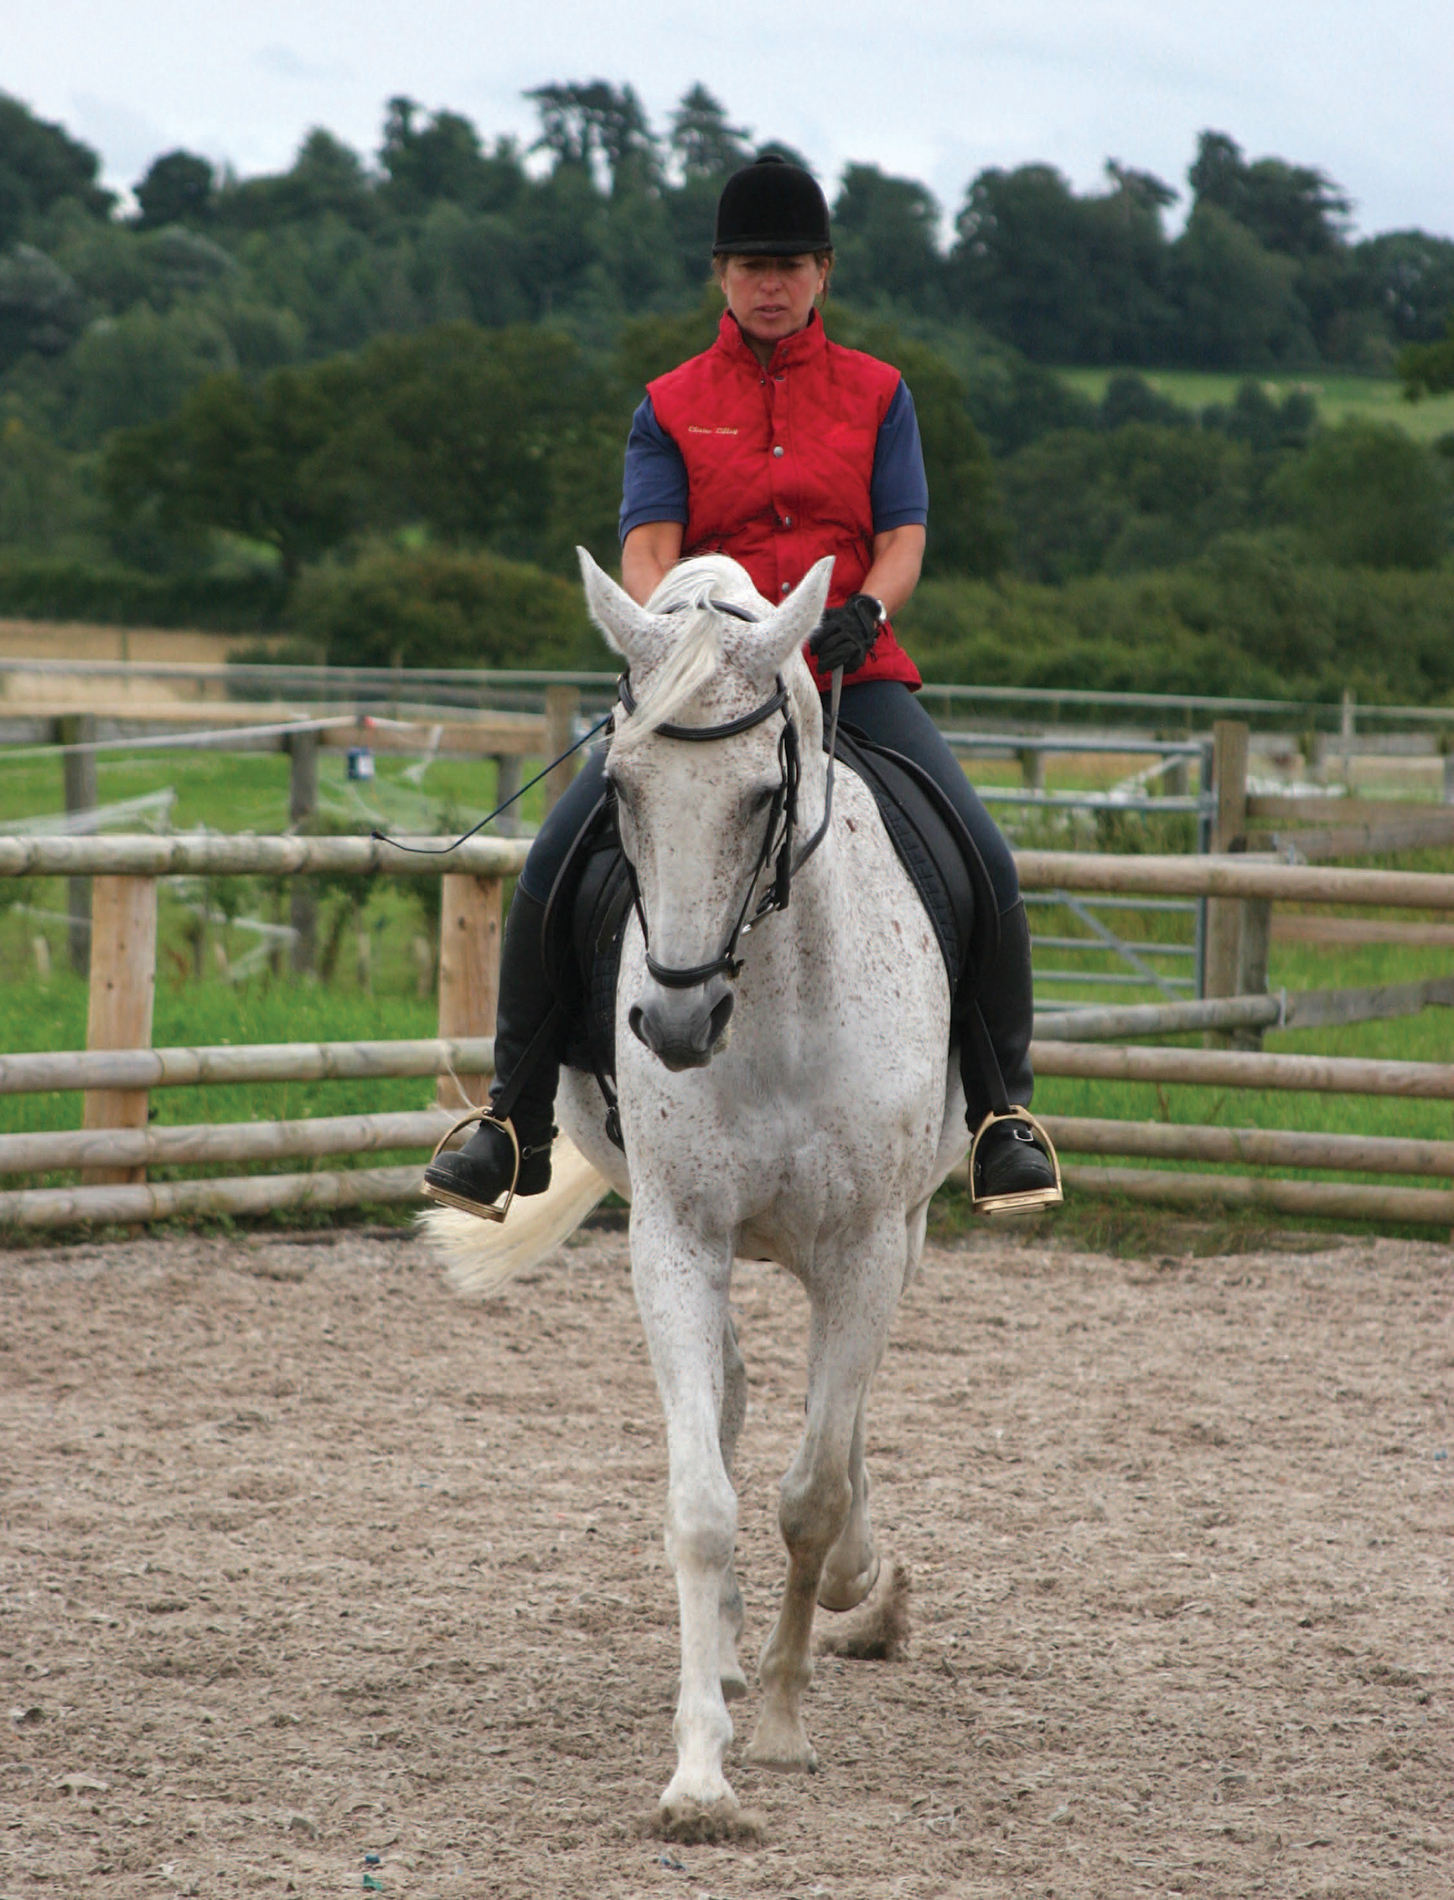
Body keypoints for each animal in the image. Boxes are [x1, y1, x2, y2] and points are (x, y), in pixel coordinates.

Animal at [425, 554, 969, 1839]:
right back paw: (726, 1652)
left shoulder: (866, 1246)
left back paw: (859, 1593)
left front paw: (780, 1720)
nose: (673, 1022)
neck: (770, 1001)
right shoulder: (673, 1236)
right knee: (725, 1400)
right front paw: (700, 1768)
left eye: (758, 791)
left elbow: (811, 1490)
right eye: (620, 786)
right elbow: (702, 1501)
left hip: (904, 1228)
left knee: (835, 1427)